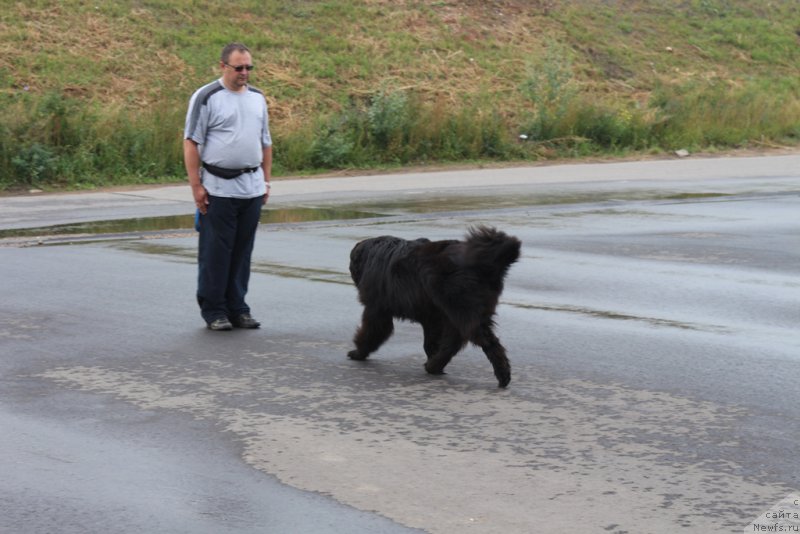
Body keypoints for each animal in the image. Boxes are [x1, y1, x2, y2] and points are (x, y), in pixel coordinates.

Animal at [346, 226, 520, 390]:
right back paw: (435, 365)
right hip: (455, 312)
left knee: (487, 342)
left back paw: (503, 375)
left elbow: (371, 332)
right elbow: (431, 342)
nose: (351, 271)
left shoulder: (376, 309)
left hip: (462, 309)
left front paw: (358, 352)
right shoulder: (432, 318)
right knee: (453, 342)